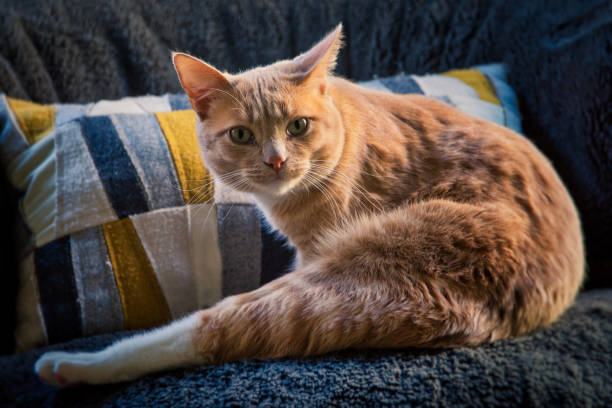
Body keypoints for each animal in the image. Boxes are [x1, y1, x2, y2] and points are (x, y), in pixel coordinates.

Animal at [33, 23, 584, 388]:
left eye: (297, 126)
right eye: (241, 135)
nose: (276, 160)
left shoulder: (315, 253)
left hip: (384, 259)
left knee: (214, 326)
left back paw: (74, 366)